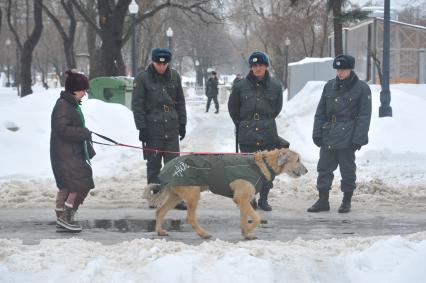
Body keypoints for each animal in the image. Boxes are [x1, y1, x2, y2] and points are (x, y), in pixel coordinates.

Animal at [145, 149, 308, 240]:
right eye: (298, 159)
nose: (307, 170)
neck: (263, 164)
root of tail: (166, 169)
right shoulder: (241, 198)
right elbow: (256, 218)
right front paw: (248, 230)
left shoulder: (244, 201)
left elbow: (245, 217)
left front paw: (246, 233)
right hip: (193, 194)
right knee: (190, 217)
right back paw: (203, 234)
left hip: (176, 195)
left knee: (160, 211)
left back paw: (159, 231)